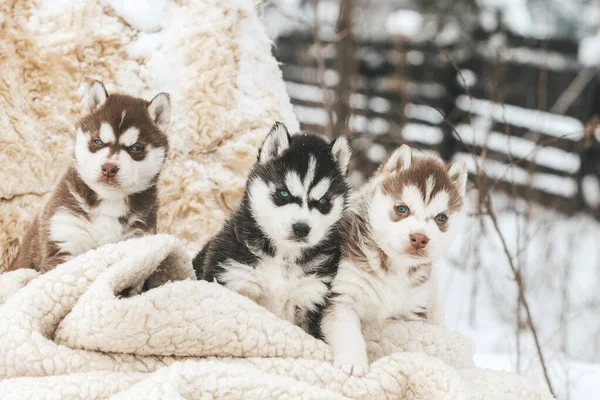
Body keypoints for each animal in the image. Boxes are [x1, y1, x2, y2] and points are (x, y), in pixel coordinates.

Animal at [8, 79, 171, 274]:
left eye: (136, 148)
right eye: (98, 141)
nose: (109, 168)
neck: (109, 201)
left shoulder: (138, 240)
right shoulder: (64, 234)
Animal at [192, 122, 352, 338]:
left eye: (323, 202)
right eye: (284, 193)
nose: (301, 228)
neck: (283, 256)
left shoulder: (311, 295)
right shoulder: (234, 276)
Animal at [322, 144, 466, 376]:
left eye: (441, 218)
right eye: (402, 208)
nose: (419, 238)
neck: (393, 268)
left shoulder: (412, 311)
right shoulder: (342, 295)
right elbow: (348, 332)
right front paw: (353, 362)